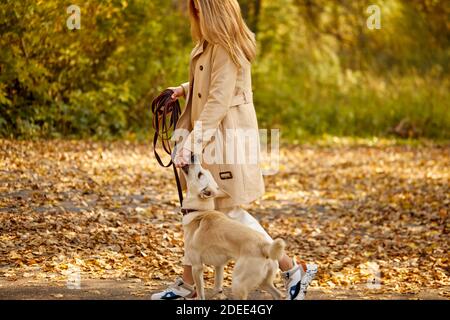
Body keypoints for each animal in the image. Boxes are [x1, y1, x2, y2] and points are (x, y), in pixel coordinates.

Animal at [180, 160, 284, 300]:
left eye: (200, 174)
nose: (192, 157)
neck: (199, 212)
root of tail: (265, 246)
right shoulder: (219, 266)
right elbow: (217, 287)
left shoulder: (196, 267)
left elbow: (201, 294)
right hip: (263, 282)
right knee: (278, 294)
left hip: (238, 284)